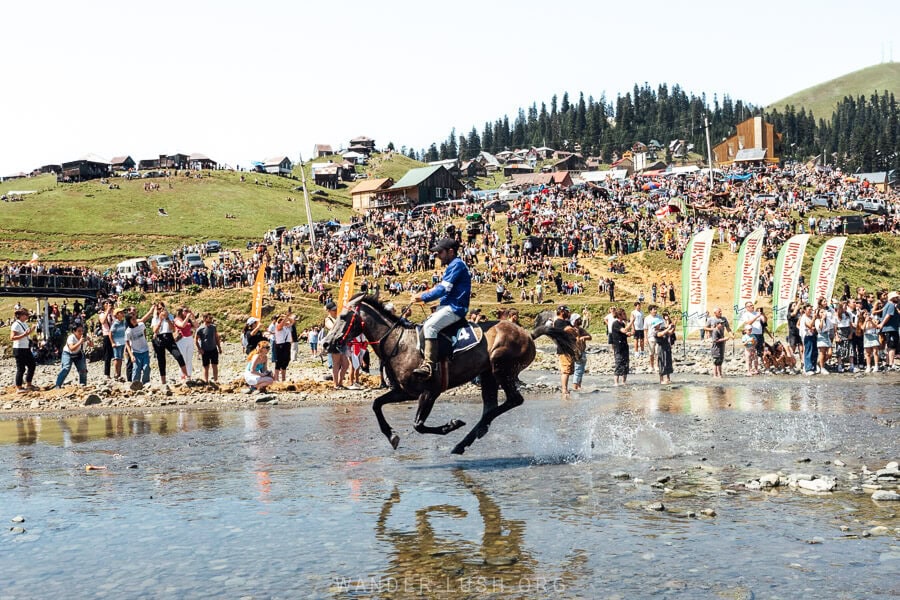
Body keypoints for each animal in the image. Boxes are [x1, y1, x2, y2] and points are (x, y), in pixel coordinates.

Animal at [322, 292, 576, 454]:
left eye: (344, 317)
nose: (326, 343)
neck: (399, 343)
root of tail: (528, 334)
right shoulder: (404, 392)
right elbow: (376, 404)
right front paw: (392, 436)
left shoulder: (429, 392)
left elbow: (419, 425)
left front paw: (451, 425)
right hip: (488, 375)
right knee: (491, 407)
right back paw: (469, 438)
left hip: (500, 369)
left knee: (512, 401)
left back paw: (471, 434)